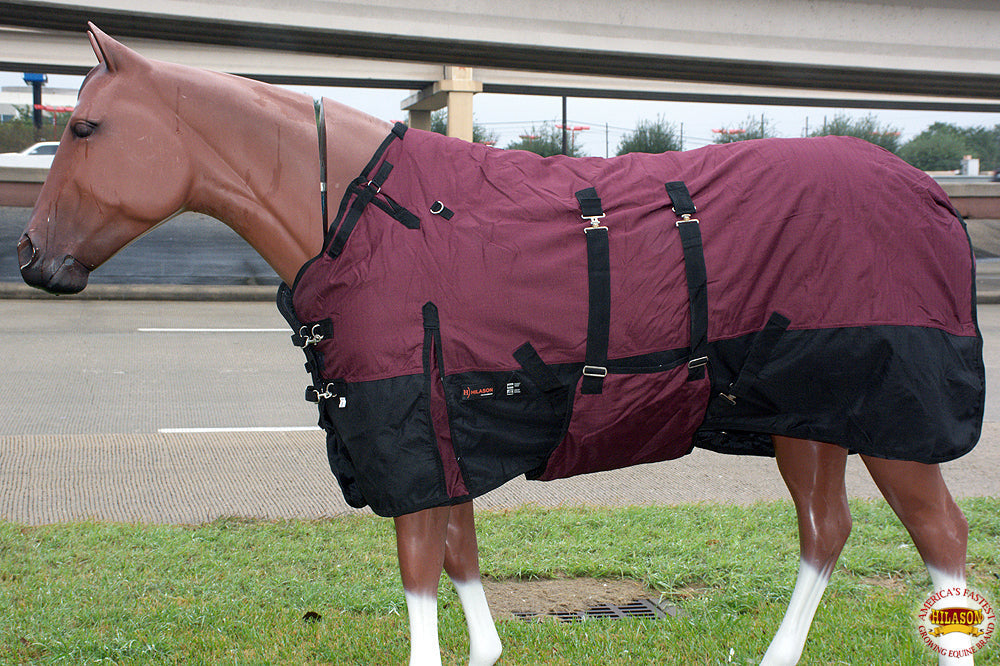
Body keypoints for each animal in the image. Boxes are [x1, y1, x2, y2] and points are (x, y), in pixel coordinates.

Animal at [18, 24, 983, 666]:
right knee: (827, 531)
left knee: (941, 537)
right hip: (806, 421)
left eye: (84, 128)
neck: (364, 216)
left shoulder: (410, 430)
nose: (30, 258)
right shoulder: (446, 429)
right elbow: (459, 555)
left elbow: (421, 567)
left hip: (889, 423)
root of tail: (932, 196)